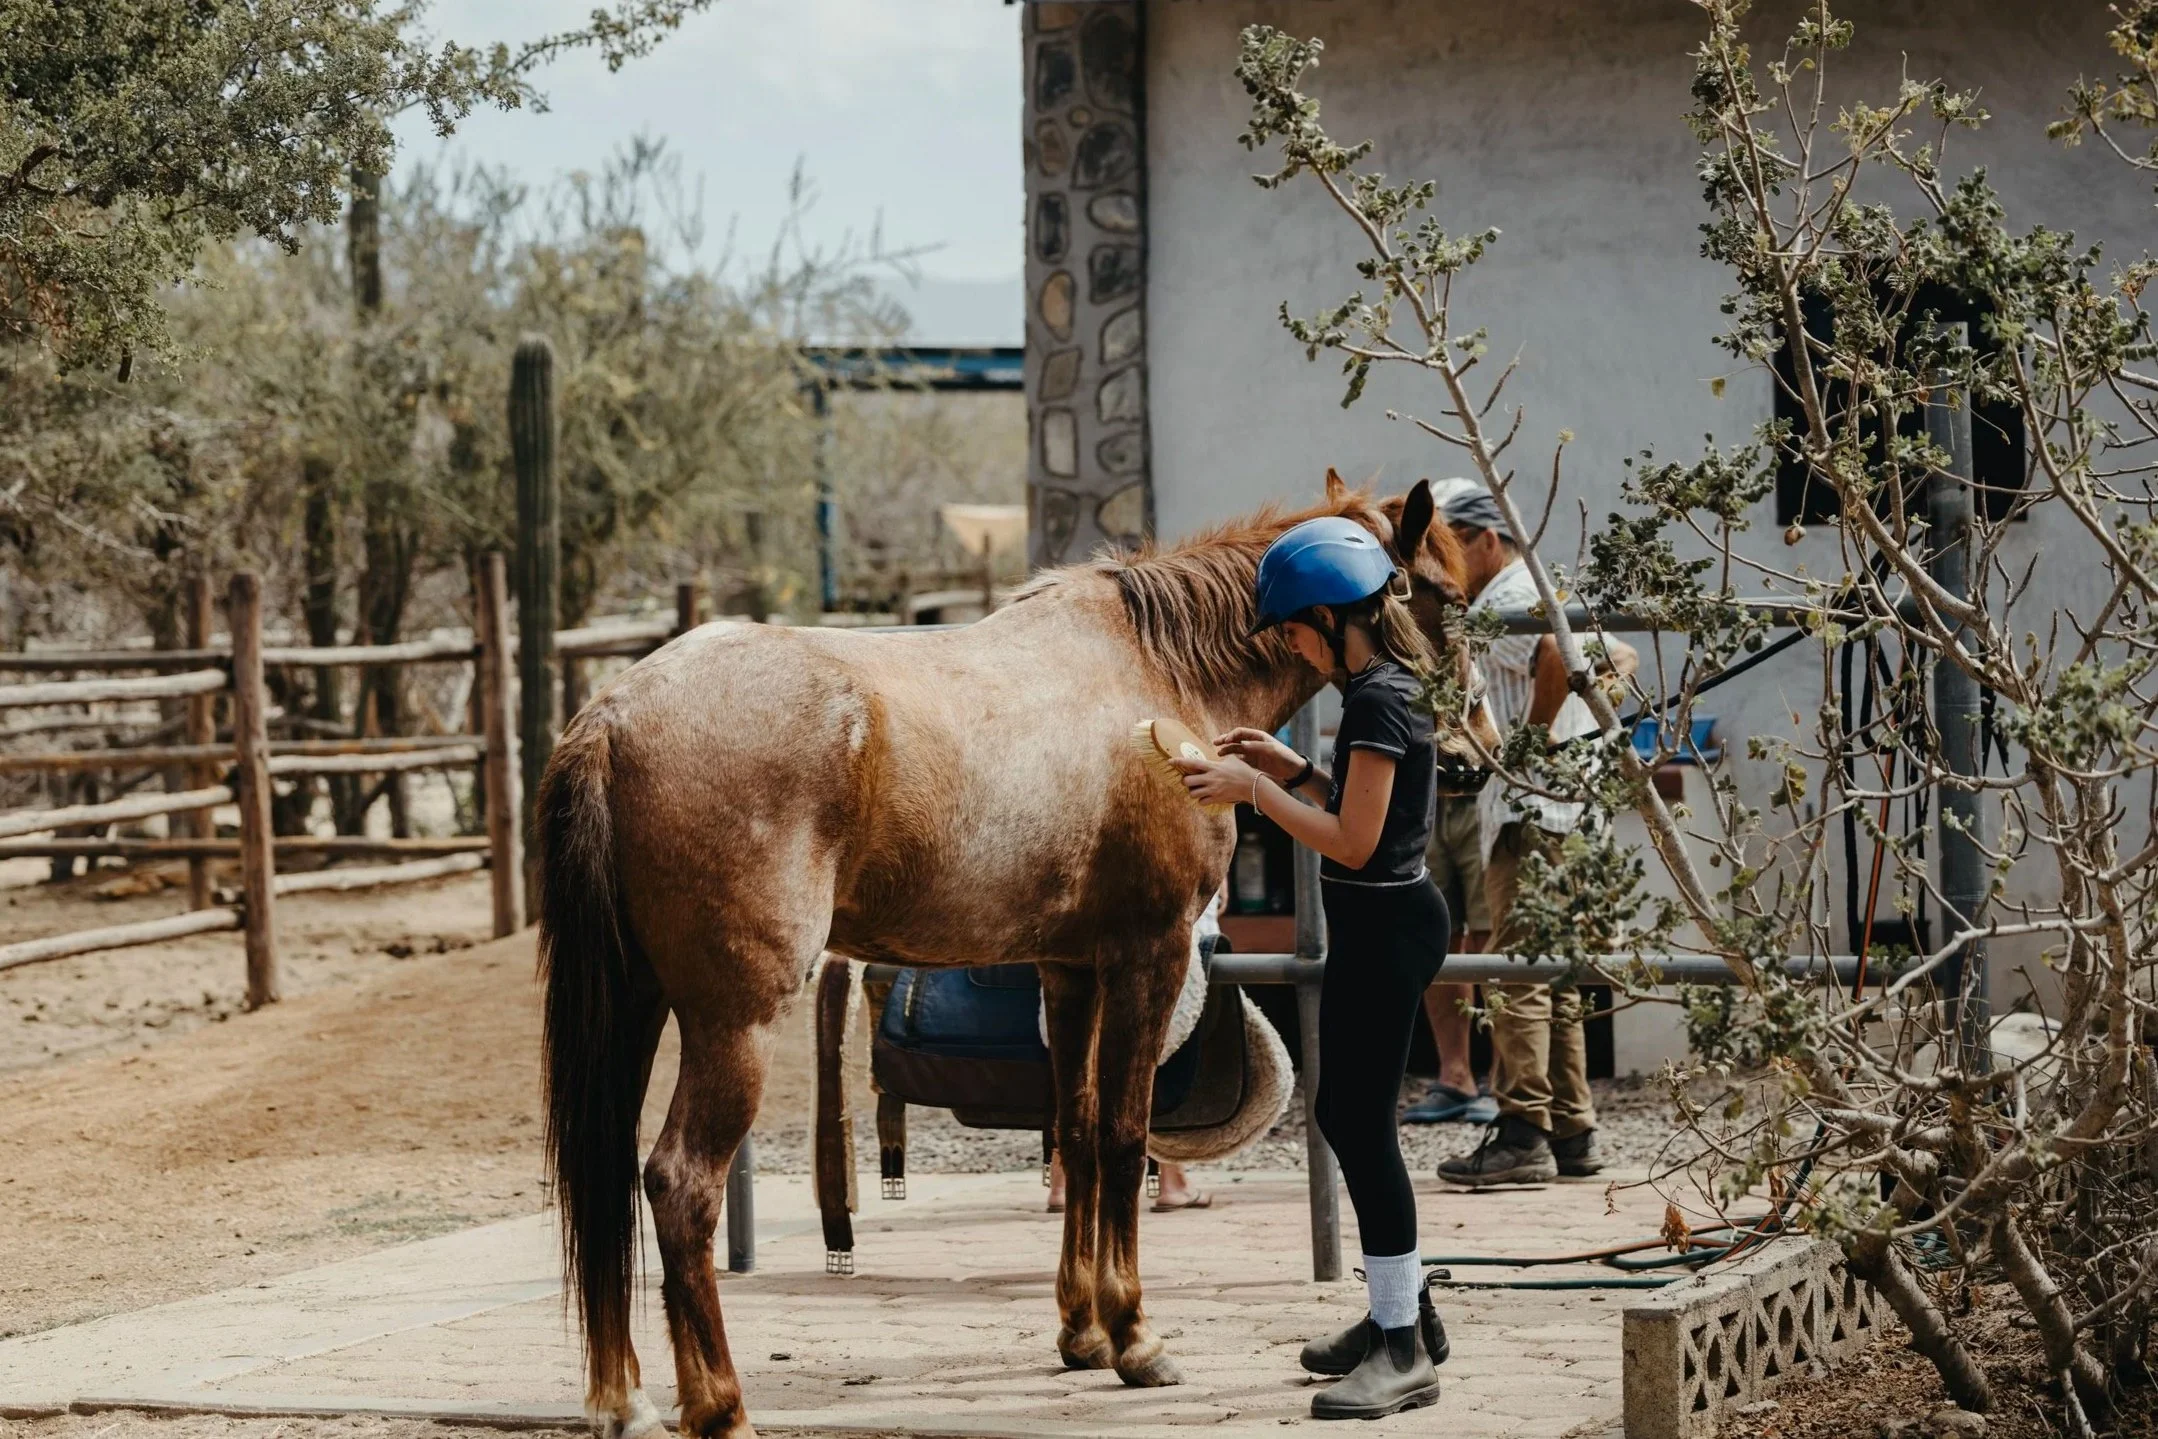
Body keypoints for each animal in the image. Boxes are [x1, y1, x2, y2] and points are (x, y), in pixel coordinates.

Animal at [538, 471, 1468, 1439]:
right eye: (1443, 593)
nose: (1467, 756)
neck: (1158, 673)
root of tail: (612, 716)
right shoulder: (1150, 956)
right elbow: (1126, 1135)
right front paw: (1135, 1338)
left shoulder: (1070, 970)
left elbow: (1081, 1131)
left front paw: (1082, 1330)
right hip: (734, 1024)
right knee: (681, 1185)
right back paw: (720, 1408)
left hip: (635, 1004)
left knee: (607, 1176)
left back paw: (627, 1401)